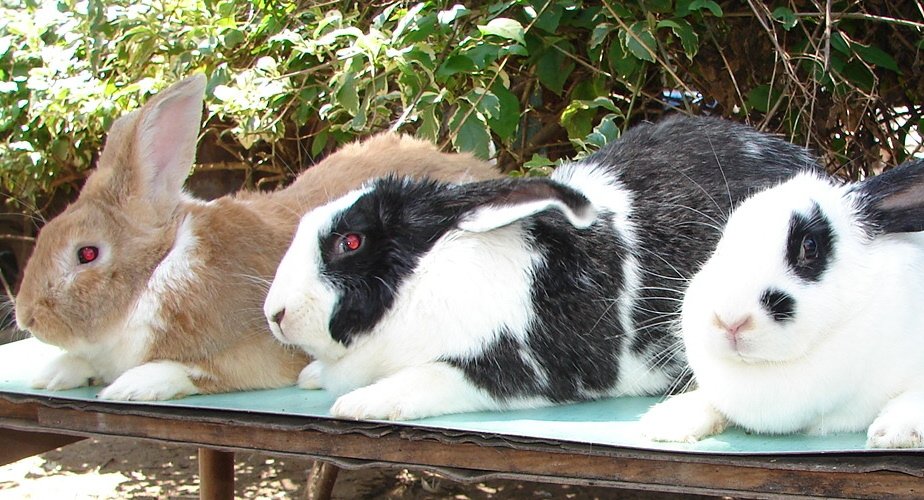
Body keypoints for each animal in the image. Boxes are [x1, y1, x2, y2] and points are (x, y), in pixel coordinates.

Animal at [13, 74, 501, 401]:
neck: (159, 272)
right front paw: (55, 373)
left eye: (87, 254)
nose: (27, 317)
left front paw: (132, 384)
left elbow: (198, 370)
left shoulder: (258, 353)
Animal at [262, 115, 821, 420]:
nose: (275, 315)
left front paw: (360, 404)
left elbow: (428, 378)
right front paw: (313, 376)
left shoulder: (518, 368)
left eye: (350, 241)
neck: (424, 278)